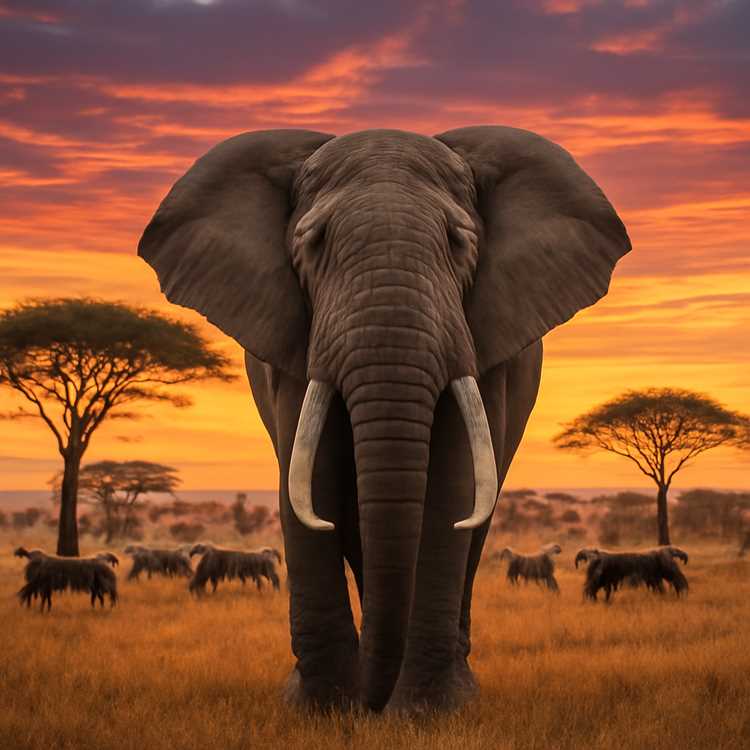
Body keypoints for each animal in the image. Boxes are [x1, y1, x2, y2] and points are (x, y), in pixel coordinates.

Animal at [138, 126, 630, 713]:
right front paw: (321, 710)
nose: (371, 705)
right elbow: (310, 478)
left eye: (458, 243)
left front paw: (426, 712)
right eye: (313, 243)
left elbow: (452, 484)